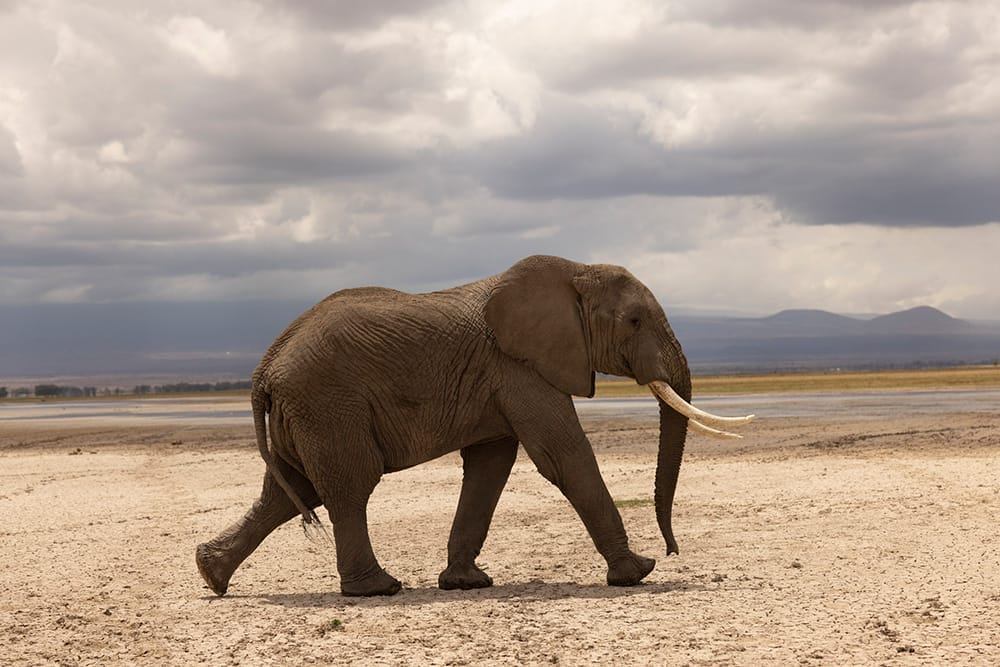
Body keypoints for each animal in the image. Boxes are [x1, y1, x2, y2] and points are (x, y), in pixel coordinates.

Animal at [196, 255, 752, 597]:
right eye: (634, 321)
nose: (673, 550)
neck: (574, 272)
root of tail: (265, 367)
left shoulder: (503, 376)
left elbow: (490, 467)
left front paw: (466, 583)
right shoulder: (519, 366)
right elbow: (564, 456)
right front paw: (636, 573)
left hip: (305, 412)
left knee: (289, 491)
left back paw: (211, 575)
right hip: (328, 405)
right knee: (348, 486)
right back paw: (378, 589)